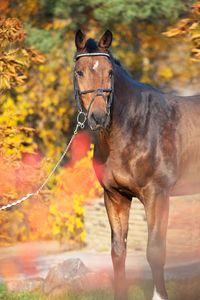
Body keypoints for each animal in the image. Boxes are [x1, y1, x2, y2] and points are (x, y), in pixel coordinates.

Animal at [73, 28, 200, 300]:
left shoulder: (157, 195)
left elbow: (155, 251)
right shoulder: (115, 196)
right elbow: (118, 251)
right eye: (80, 72)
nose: (98, 117)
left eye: (110, 72)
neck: (134, 126)